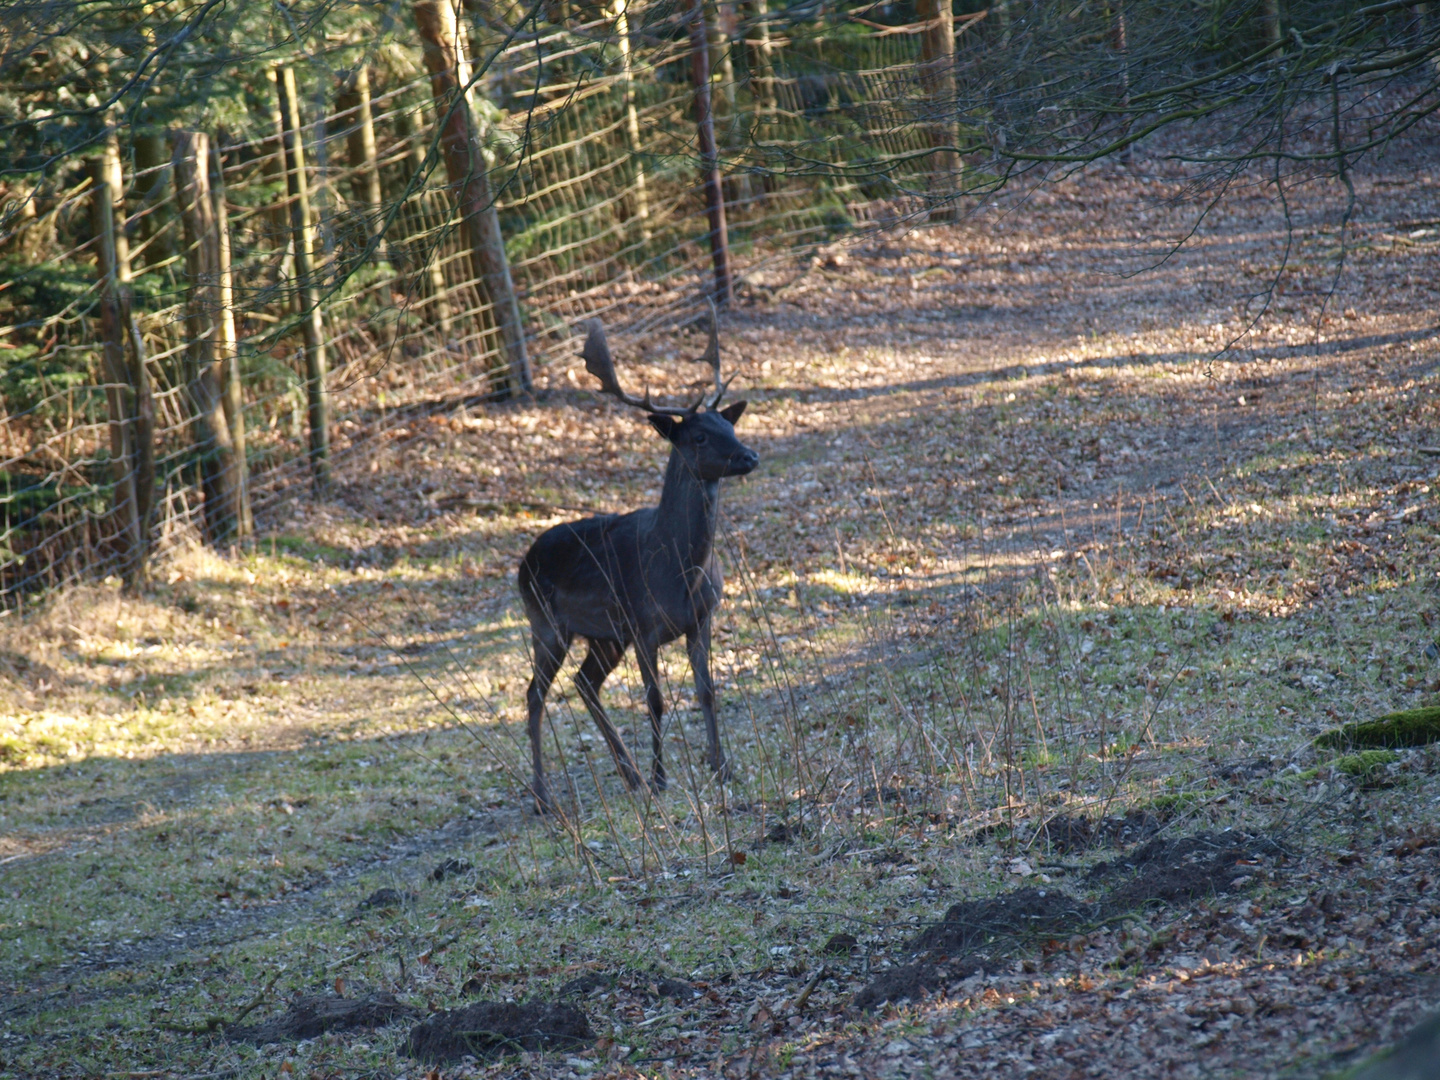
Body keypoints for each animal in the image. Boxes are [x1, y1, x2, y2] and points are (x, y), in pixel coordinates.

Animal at [521, 316, 766, 817]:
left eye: (727, 424)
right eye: (698, 435)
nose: (749, 455)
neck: (681, 571)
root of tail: (521, 564)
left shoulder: (701, 617)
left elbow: (707, 689)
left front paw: (721, 766)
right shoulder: (643, 625)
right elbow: (654, 701)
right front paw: (661, 778)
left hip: (603, 637)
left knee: (583, 682)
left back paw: (627, 773)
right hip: (548, 625)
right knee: (536, 694)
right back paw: (544, 796)